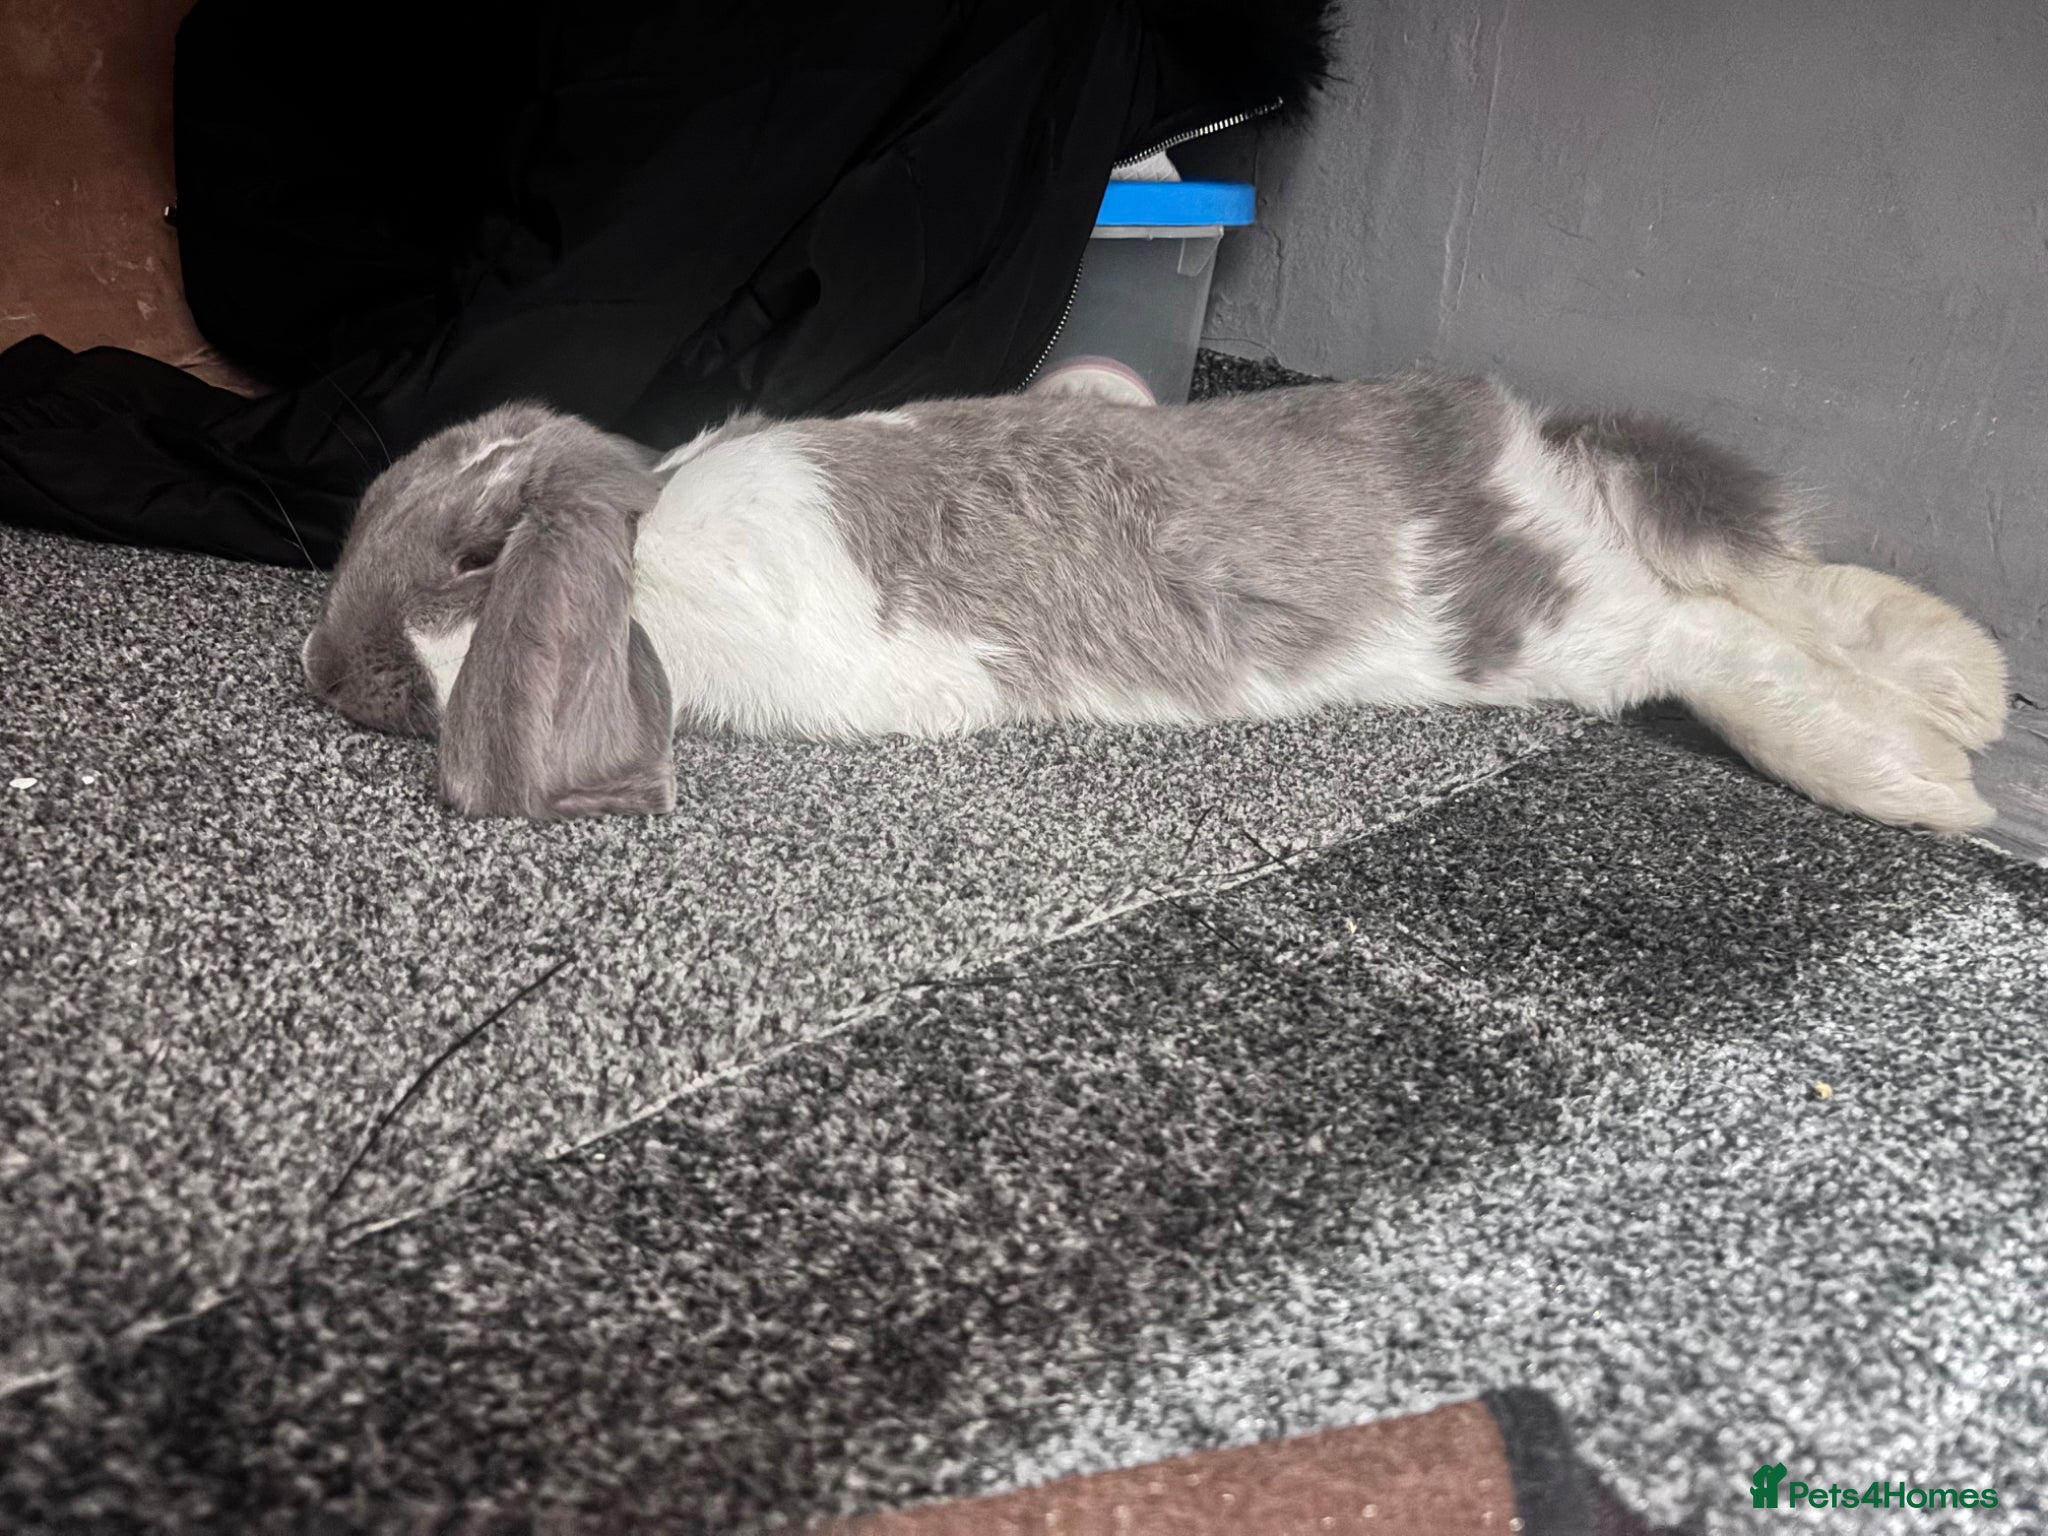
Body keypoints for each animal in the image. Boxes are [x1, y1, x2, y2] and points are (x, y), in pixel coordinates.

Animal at [301, 371, 2009, 830]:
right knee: (1760, 571)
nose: (320, 673)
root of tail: (1517, 459)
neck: (649, 548)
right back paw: (1967, 682)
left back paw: (1919, 778)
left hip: (1544, 636)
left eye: (469, 558)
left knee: (1710, 633)